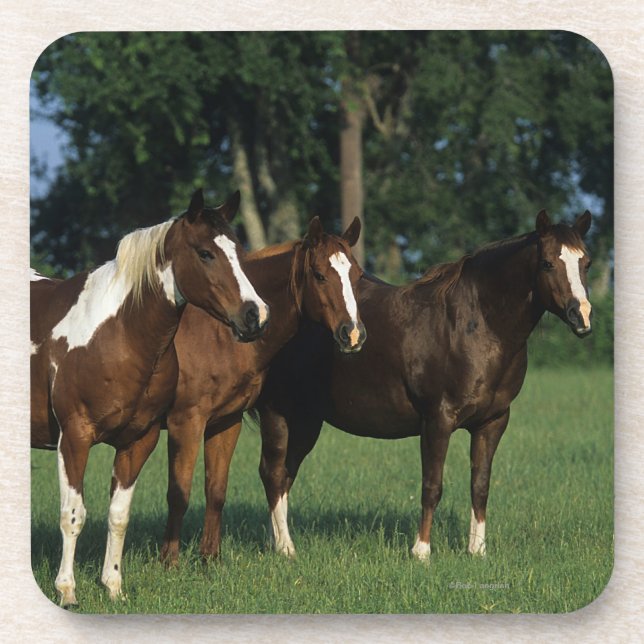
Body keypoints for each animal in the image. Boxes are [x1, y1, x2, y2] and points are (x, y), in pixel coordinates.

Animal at [30, 189, 269, 606]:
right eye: (205, 253)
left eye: (238, 251)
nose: (255, 315)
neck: (117, 333)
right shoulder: (74, 438)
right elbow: (73, 515)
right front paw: (67, 591)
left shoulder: (138, 441)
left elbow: (118, 515)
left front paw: (113, 586)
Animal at [158, 216, 366, 566]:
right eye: (320, 275)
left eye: (357, 275)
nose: (352, 334)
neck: (217, 334)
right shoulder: (185, 423)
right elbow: (178, 493)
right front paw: (168, 561)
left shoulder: (225, 421)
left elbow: (216, 489)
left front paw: (209, 558)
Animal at [253, 209, 593, 559]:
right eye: (548, 263)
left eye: (586, 262)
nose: (581, 316)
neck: (474, 326)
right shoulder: (437, 420)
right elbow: (432, 485)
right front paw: (421, 551)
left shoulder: (493, 422)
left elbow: (480, 485)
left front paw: (477, 550)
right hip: (277, 413)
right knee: (273, 473)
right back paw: (285, 548)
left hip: (306, 420)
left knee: (285, 476)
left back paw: (277, 541)